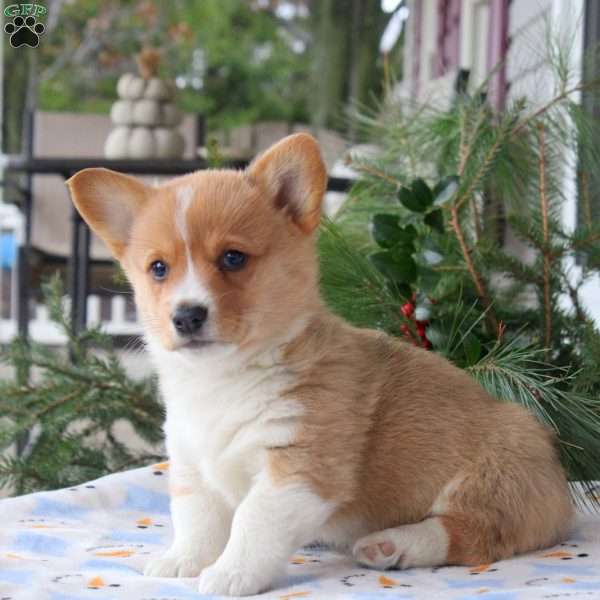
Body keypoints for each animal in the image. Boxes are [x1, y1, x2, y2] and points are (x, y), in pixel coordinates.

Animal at [68, 134, 576, 596]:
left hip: (493, 479)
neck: (225, 380)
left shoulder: (298, 469)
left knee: (473, 533)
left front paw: (231, 575)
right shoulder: (193, 463)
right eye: (158, 268)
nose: (187, 315)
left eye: (233, 258)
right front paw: (182, 561)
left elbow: (252, 521)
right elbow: (196, 519)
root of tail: (559, 480)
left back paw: (394, 544)